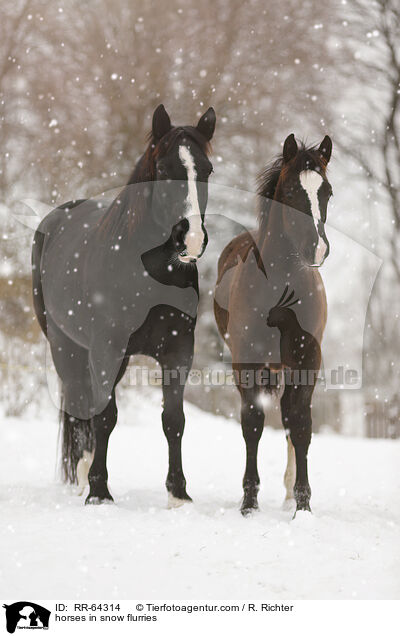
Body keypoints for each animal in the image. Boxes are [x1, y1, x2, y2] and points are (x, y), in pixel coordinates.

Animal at [32, 104, 216, 506]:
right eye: (163, 168)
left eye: (208, 170)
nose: (192, 239)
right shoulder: (108, 347)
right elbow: (106, 417)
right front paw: (99, 491)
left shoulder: (178, 350)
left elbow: (174, 420)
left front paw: (178, 493)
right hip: (67, 348)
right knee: (80, 404)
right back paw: (83, 477)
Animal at [214, 133, 332, 516]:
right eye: (293, 191)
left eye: (327, 192)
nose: (318, 249)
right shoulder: (247, 362)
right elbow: (253, 423)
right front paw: (249, 502)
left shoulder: (307, 360)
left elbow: (301, 426)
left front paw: (302, 505)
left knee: (291, 418)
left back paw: (288, 494)